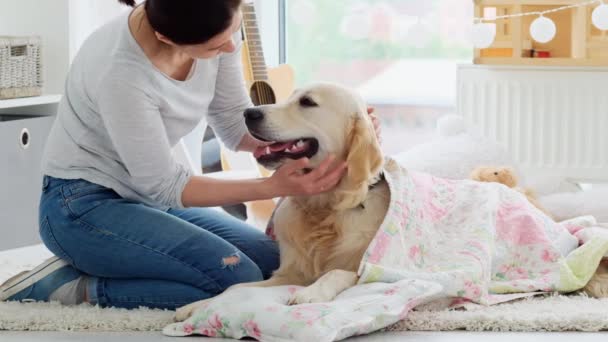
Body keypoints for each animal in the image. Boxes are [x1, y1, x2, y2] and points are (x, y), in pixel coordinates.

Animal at [173, 82, 604, 320]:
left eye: (307, 102)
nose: (249, 112)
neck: (328, 207)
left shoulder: (372, 268)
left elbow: (336, 273)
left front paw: (312, 293)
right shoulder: (287, 272)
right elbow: (237, 288)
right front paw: (197, 306)